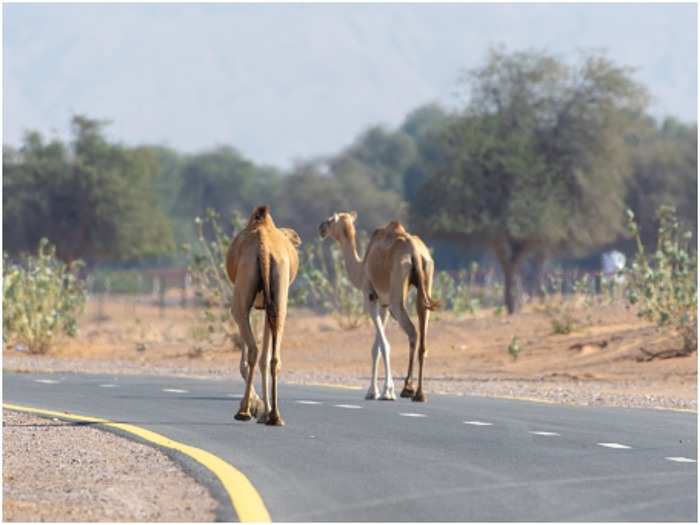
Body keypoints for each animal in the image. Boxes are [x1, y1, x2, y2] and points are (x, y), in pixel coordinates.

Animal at [226, 205, 300, 426]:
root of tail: (264, 248)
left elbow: (245, 359)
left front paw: (256, 407)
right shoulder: (269, 307)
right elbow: (265, 358)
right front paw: (264, 411)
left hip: (242, 297)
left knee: (252, 348)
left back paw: (243, 412)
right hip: (279, 297)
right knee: (273, 357)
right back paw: (275, 416)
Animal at [318, 211, 438, 404]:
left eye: (330, 220)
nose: (321, 228)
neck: (361, 267)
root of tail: (414, 252)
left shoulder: (370, 297)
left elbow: (383, 344)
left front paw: (385, 391)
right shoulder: (384, 303)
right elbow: (376, 347)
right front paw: (373, 391)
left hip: (397, 296)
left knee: (412, 331)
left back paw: (407, 388)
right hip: (426, 281)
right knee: (423, 335)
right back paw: (419, 393)